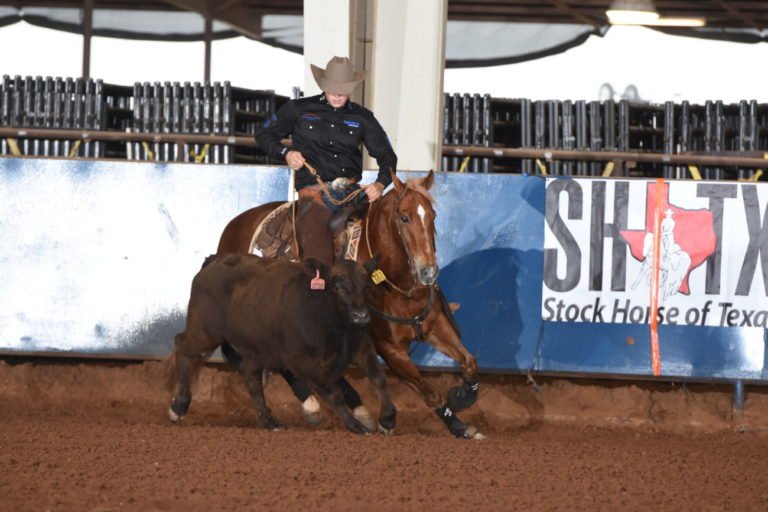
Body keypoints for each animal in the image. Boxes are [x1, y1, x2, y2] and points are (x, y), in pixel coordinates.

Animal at [217, 170, 483, 439]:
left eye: (433, 215)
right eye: (404, 217)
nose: (429, 271)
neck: (394, 283)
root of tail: (234, 226)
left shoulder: (435, 326)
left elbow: (469, 362)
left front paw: (461, 405)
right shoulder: (389, 347)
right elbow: (427, 390)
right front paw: (392, 420)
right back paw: (316, 406)